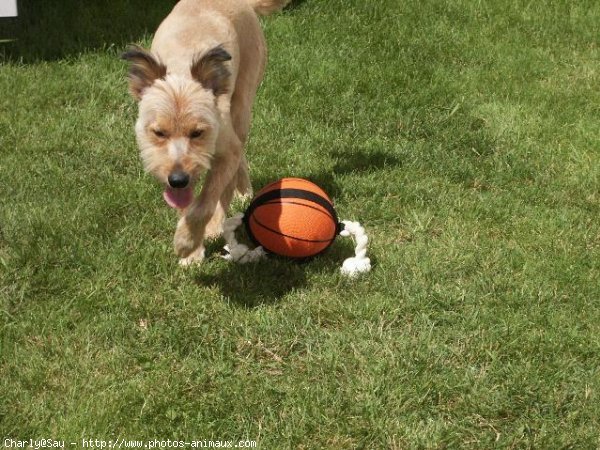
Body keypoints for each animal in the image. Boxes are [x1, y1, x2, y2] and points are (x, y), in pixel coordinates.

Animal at [122, 0, 288, 266]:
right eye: (159, 132)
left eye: (198, 133)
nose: (178, 179)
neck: (180, 69)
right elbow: (187, 205)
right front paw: (193, 249)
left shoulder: (227, 150)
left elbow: (206, 202)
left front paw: (187, 242)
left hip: (243, 104)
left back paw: (234, 202)